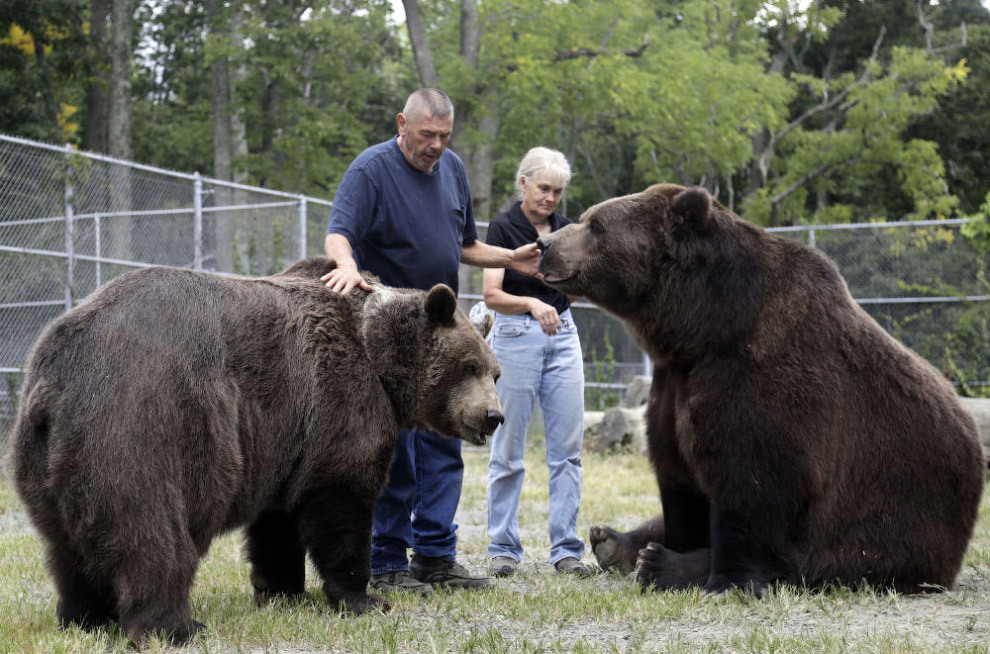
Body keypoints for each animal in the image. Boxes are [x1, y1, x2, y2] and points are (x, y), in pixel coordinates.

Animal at [7, 258, 504, 644]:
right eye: (468, 366)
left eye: (494, 372)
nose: (492, 416)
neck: (381, 357)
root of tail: (56, 377)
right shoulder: (340, 398)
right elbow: (342, 499)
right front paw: (364, 598)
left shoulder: (287, 433)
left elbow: (277, 520)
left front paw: (281, 590)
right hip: (144, 424)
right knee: (152, 535)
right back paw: (176, 626)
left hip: (47, 458)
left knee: (66, 544)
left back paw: (84, 618)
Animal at [540, 186, 988, 600]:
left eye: (596, 225)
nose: (545, 245)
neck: (701, 329)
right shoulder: (674, 384)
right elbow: (678, 477)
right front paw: (665, 545)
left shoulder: (760, 382)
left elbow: (752, 486)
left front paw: (719, 578)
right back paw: (613, 541)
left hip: (895, 522)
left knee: (819, 560)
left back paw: (658, 563)